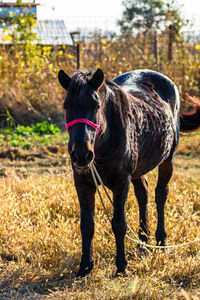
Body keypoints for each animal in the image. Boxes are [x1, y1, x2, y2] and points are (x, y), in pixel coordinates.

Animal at [57, 68, 200, 276]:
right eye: (67, 106)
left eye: (96, 106)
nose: (82, 155)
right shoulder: (82, 181)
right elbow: (87, 225)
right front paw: (85, 266)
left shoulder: (121, 181)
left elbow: (119, 223)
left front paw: (121, 266)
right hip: (138, 170)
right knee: (143, 194)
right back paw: (143, 241)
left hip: (168, 160)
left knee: (160, 195)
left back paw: (161, 241)